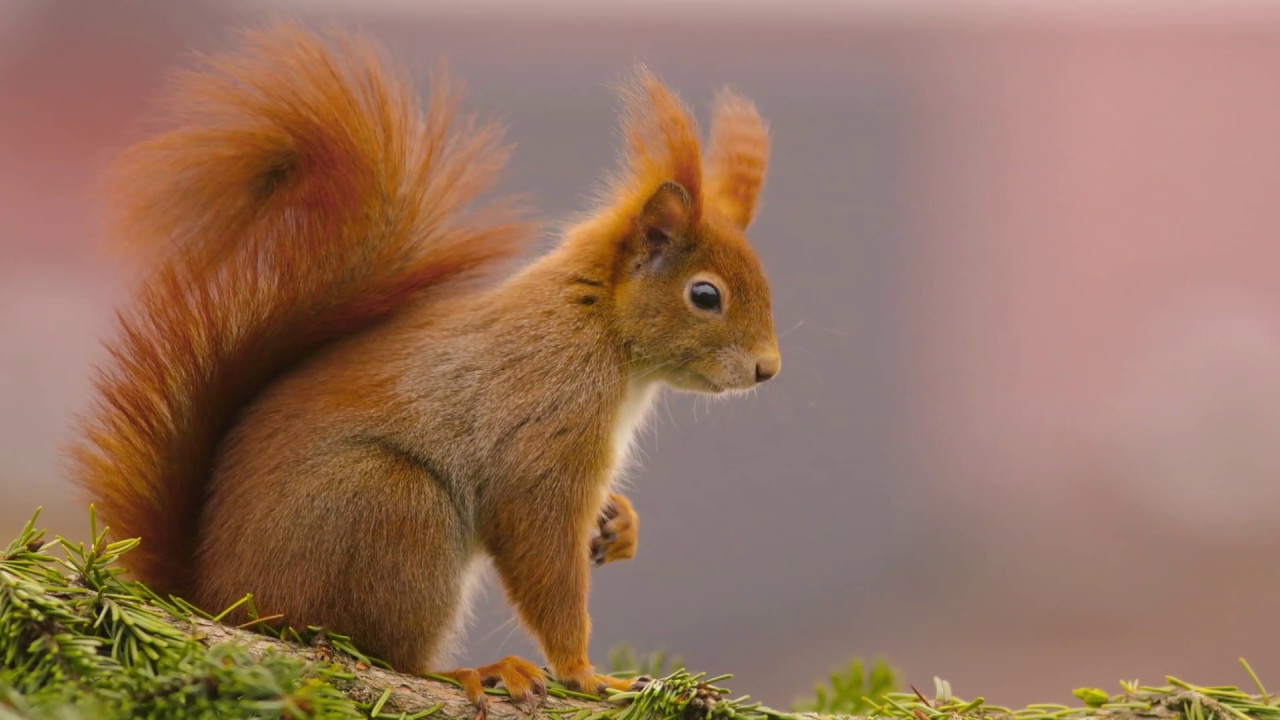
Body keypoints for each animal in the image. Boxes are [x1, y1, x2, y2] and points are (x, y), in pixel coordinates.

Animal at [73, 21, 780, 715]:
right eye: (705, 295)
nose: (768, 369)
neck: (600, 328)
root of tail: (218, 600)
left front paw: (621, 524)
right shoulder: (545, 419)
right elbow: (541, 548)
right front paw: (585, 673)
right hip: (398, 512)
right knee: (389, 655)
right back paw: (479, 671)